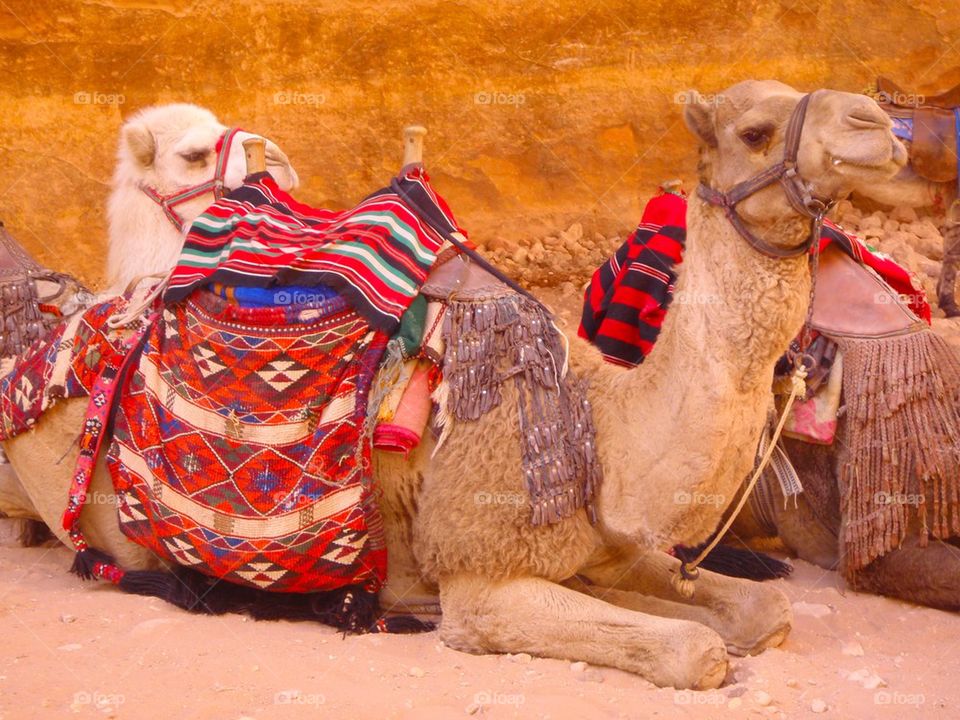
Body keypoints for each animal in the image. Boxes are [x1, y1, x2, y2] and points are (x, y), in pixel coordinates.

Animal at [0, 82, 907, 689]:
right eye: (755, 130)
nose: (882, 125)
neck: (598, 422)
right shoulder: (482, 574)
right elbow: (697, 649)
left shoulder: (603, 545)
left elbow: (761, 613)